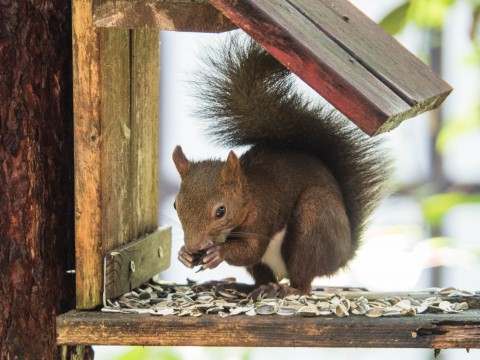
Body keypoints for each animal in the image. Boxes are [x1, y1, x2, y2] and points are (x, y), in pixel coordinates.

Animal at [172, 33, 390, 296]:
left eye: (221, 211)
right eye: (175, 205)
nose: (194, 246)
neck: (248, 196)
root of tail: (344, 253)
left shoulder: (263, 214)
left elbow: (251, 248)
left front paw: (218, 253)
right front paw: (184, 255)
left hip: (313, 222)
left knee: (303, 280)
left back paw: (287, 290)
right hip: (268, 262)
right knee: (262, 277)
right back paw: (242, 286)